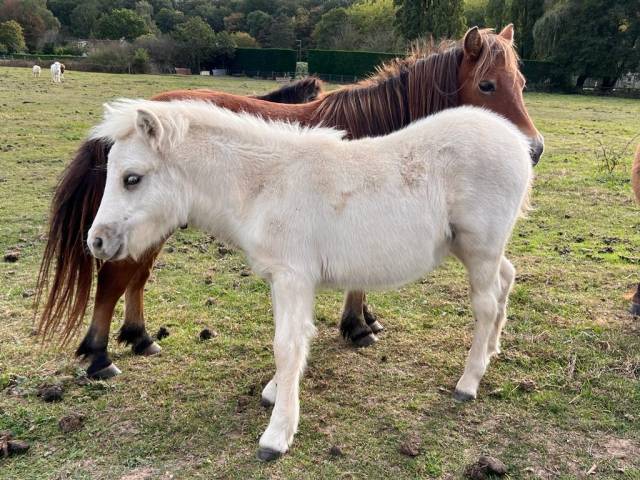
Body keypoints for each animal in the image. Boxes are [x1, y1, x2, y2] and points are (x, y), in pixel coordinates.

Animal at [37, 26, 544, 380]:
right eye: (487, 85)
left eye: (521, 82)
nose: (533, 149)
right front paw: (357, 327)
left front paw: (365, 321)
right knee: (114, 279)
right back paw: (100, 355)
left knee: (135, 278)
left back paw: (140, 338)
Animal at [86, 99, 536, 460]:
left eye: (131, 178)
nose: (96, 241)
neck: (265, 185)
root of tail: (515, 141)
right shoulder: (286, 279)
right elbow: (294, 341)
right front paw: (275, 391)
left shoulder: (292, 277)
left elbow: (287, 344)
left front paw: (277, 433)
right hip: (473, 248)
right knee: (506, 280)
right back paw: (492, 351)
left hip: (480, 248)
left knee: (485, 305)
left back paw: (469, 380)